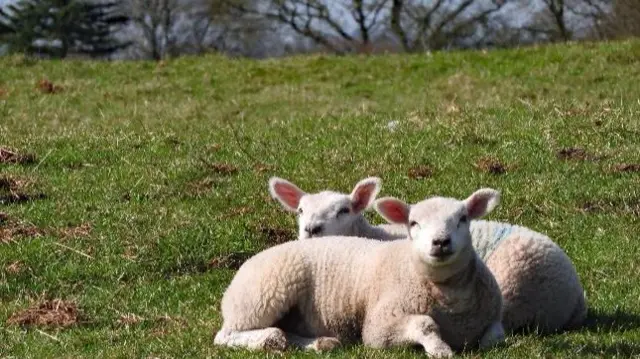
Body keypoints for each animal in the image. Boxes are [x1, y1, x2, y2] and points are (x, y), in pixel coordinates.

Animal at [215, 188, 504, 358]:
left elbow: (495, 338)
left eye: (463, 219)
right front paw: (440, 349)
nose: (441, 242)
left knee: (286, 332)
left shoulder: (494, 319)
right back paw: (270, 340)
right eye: (413, 223)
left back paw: (320, 343)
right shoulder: (379, 325)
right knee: (227, 336)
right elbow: (425, 323)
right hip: (261, 297)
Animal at [268, 176, 588, 336]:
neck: (374, 234)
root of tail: (577, 296)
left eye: (344, 210)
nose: (312, 228)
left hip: (516, 281)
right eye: (300, 210)